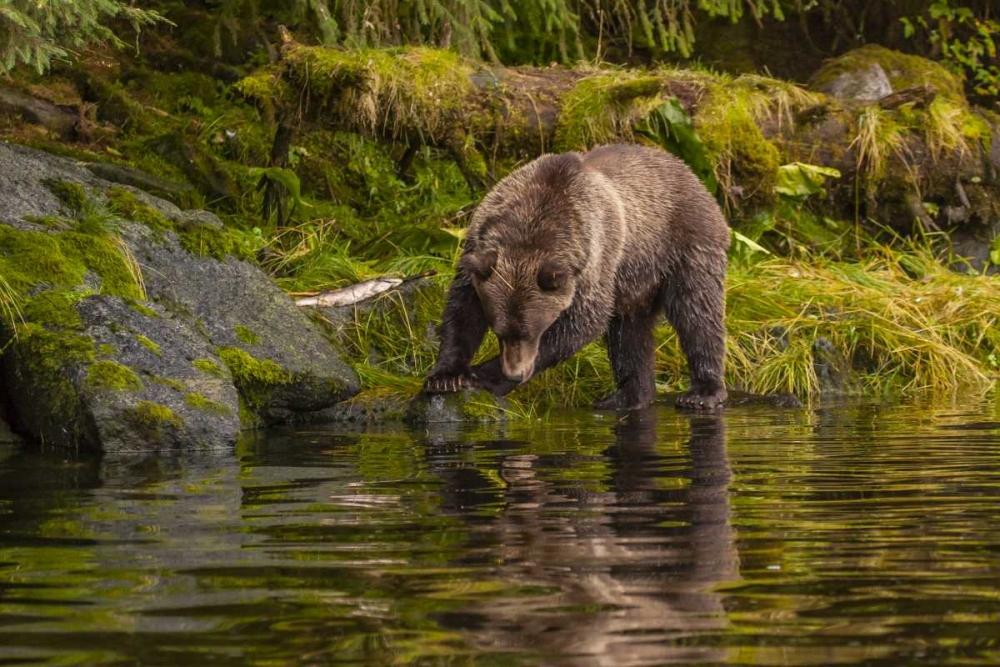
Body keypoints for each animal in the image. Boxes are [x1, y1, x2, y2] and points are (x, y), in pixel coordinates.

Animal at [422, 144, 728, 410]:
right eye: (499, 332)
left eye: (531, 331)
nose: (515, 373)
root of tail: (686, 169)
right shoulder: (479, 248)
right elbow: (462, 311)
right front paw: (446, 376)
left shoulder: (593, 263)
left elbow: (582, 323)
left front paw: (483, 376)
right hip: (632, 280)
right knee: (629, 333)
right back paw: (626, 397)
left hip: (683, 243)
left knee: (697, 312)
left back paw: (702, 393)